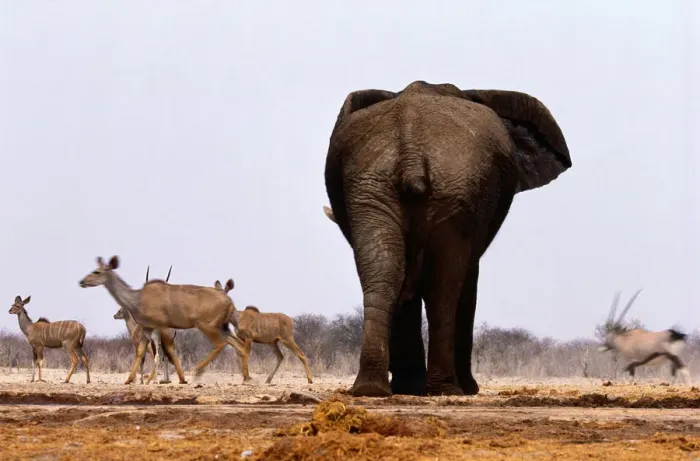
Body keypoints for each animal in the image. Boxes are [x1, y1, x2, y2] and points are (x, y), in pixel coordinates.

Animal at [322, 80, 571, 397]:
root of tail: (410, 140)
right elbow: (466, 279)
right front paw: (465, 388)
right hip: (452, 187)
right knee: (444, 284)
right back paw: (447, 389)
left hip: (376, 187)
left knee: (385, 271)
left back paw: (374, 388)